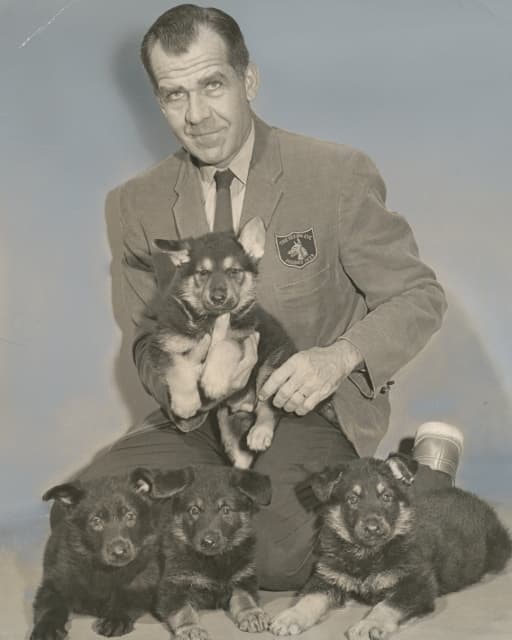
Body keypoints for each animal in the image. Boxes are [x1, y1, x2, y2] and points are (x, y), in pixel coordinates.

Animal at [29, 472, 160, 636]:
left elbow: (127, 597)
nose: (119, 552)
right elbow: (50, 607)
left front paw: (115, 618)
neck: (104, 569)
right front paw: (46, 628)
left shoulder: (142, 581)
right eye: (96, 521)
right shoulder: (53, 585)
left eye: (130, 516)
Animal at [131, 464, 272, 640]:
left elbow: (244, 595)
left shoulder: (244, 576)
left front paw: (251, 613)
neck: (214, 560)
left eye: (226, 510)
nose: (208, 542)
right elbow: (183, 610)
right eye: (194, 510)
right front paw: (191, 628)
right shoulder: (171, 587)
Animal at [144, 215, 296, 464]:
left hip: (273, 364)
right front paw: (186, 403)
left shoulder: (247, 336)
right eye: (203, 273)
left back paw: (260, 431)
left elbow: (226, 345)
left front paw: (213, 380)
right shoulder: (162, 345)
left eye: (233, 271)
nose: (218, 297)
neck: (209, 320)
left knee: (268, 405)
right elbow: (178, 367)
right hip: (227, 423)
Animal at [270, 452, 510, 636]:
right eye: (352, 500)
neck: (368, 553)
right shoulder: (327, 577)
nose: (373, 527)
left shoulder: (416, 584)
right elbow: (309, 598)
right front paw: (290, 616)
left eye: (386, 497)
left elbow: (387, 605)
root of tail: (477, 500)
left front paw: (369, 624)